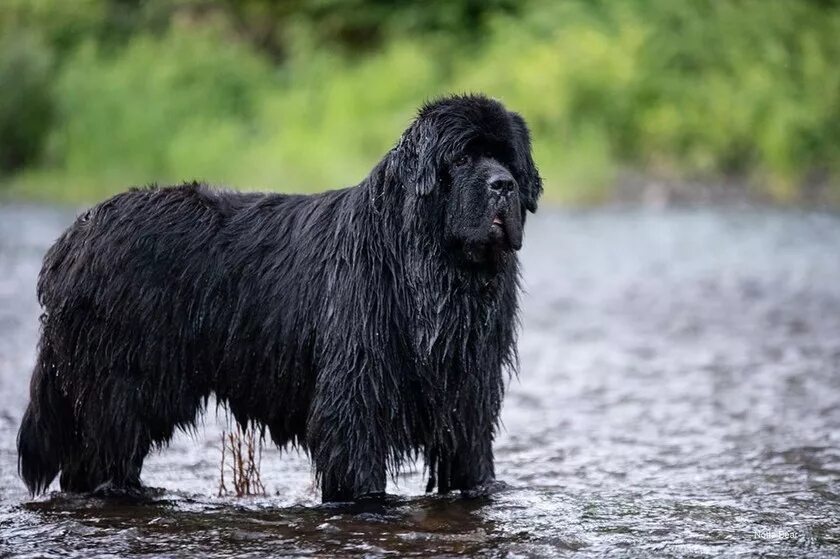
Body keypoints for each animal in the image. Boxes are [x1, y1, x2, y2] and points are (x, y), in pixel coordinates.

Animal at [21, 93, 544, 504]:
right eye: (462, 159)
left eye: (508, 160)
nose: (503, 185)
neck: (431, 271)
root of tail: (72, 238)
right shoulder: (355, 396)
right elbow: (357, 468)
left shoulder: (469, 398)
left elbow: (471, 460)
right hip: (121, 385)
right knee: (103, 455)